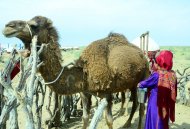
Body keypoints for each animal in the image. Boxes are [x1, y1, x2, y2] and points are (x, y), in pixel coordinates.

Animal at [2, 16, 149, 129]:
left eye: (33, 25)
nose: (8, 27)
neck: (84, 73)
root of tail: (142, 54)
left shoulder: (107, 94)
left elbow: (109, 121)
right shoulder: (84, 92)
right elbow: (85, 117)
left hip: (144, 76)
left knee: (141, 106)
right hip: (132, 83)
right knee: (135, 103)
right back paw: (127, 123)